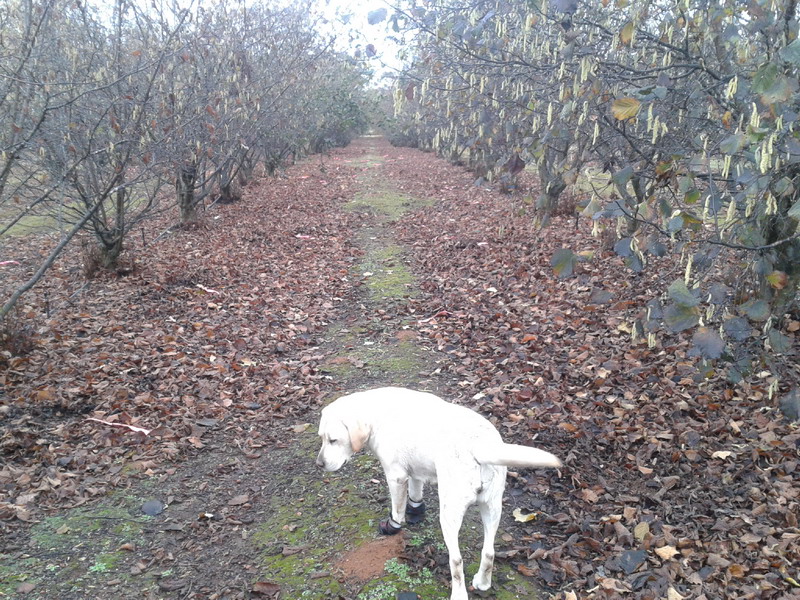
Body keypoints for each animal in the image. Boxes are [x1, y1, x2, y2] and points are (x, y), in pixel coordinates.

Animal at [316, 387, 561, 600]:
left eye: (334, 440)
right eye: (321, 437)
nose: (319, 464)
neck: (378, 415)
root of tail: (479, 446)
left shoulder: (396, 476)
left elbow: (397, 509)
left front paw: (393, 526)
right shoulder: (414, 473)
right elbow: (415, 495)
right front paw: (416, 512)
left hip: (449, 515)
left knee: (457, 560)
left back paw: (459, 594)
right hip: (492, 508)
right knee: (489, 552)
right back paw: (482, 582)